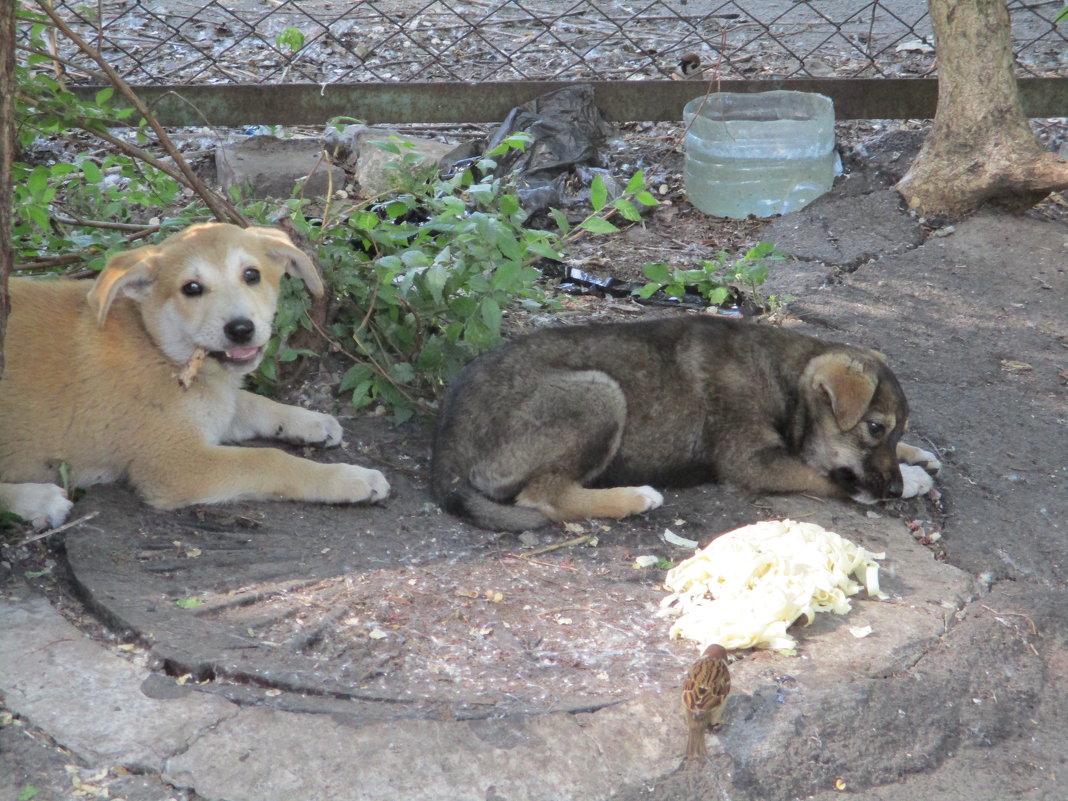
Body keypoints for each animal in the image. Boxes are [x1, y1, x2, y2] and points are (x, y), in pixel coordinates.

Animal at [0, 223, 390, 529]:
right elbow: (267, 459)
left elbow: (252, 402)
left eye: (251, 275)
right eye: (191, 288)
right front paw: (350, 478)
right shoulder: (175, 463)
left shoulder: (214, 408)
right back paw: (36, 499)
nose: (241, 329)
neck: (159, 350)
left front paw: (310, 421)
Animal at [429, 316, 939, 534]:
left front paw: (917, 456)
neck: (785, 378)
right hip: (600, 393)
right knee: (545, 496)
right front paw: (913, 481)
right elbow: (824, 476)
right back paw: (634, 497)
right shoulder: (751, 462)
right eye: (874, 427)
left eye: (893, 431)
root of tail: (447, 440)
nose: (894, 489)